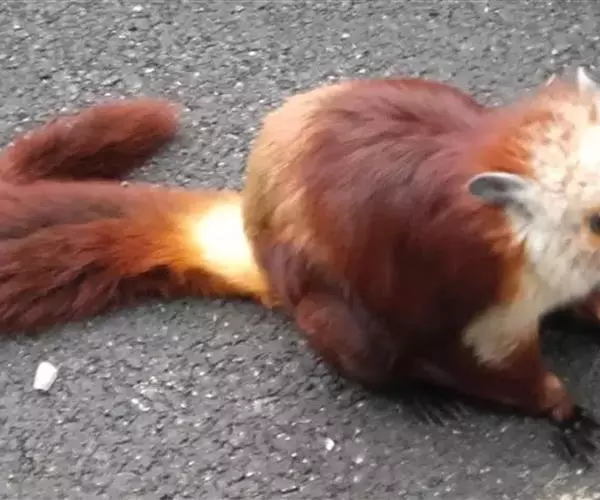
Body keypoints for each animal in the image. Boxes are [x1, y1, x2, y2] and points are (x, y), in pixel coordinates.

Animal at [0, 70, 600, 467]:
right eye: (596, 217)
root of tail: (255, 234)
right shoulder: (486, 281)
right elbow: (478, 358)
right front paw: (560, 407)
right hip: (324, 303)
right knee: (361, 340)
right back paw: (408, 389)